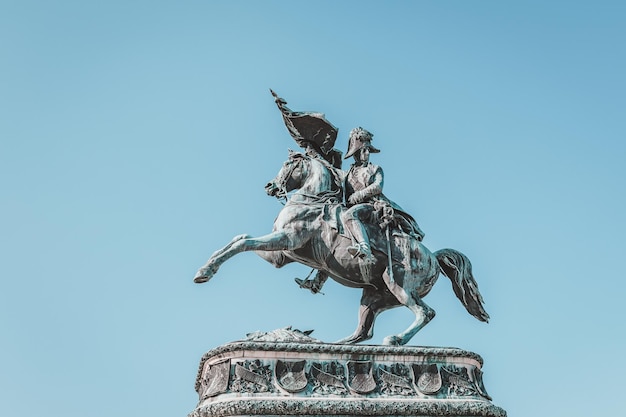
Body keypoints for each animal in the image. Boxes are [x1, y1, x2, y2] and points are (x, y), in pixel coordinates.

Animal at [191, 150, 488, 344]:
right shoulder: (280, 255)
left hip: (400, 286)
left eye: (288, 163)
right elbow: (240, 238)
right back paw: (334, 346)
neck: (309, 201)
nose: (269, 186)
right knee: (363, 332)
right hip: (373, 297)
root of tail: (433, 257)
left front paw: (206, 271)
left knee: (425, 313)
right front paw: (204, 269)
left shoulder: (286, 240)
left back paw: (395, 340)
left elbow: (243, 242)